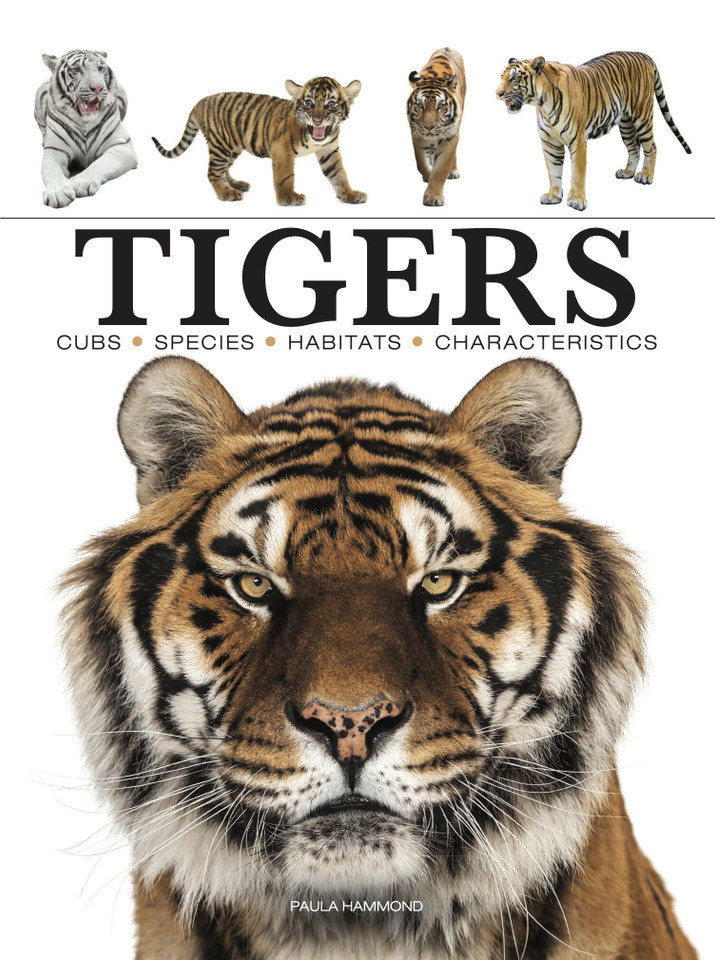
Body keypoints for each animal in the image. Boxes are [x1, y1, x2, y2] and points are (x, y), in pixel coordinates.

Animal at [34, 50, 137, 208]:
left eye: (100, 69)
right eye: (77, 70)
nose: (98, 88)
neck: (84, 120)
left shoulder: (121, 146)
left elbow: (98, 165)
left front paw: (79, 182)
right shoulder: (55, 151)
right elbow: (53, 171)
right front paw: (58, 192)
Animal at [152, 77, 366, 205]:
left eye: (331, 104)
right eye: (308, 103)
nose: (317, 120)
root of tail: (200, 102)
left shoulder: (329, 150)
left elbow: (339, 174)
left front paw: (350, 194)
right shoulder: (282, 150)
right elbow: (285, 177)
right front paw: (288, 198)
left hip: (233, 147)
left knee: (223, 169)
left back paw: (236, 185)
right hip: (221, 145)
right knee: (213, 172)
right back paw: (226, 193)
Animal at [407, 47, 466, 206]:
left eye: (440, 106)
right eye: (420, 105)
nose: (429, 127)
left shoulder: (450, 137)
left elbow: (440, 171)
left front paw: (433, 196)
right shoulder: (417, 136)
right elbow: (421, 163)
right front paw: (428, 176)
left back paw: (453, 171)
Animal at [495, 51, 691, 211]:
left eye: (514, 79)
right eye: (501, 77)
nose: (497, 93)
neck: (542, 104)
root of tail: (644, 55)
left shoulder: (577, 140)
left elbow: (577, 173)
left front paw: (577, 201)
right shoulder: (550, 143)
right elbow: (553, 171)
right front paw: (553, 196)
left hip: (642, 115)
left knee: (652, 146)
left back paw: (645, 176)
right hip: (626, 123)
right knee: (634, 148)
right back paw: (627, 172)